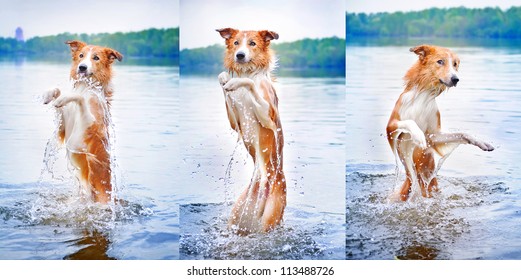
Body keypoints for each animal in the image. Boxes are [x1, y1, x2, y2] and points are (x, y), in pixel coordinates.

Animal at [42, 40, 123, 203]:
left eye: (96, 58)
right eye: (81, 55)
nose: (82, 67)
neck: (86, 87)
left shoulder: (82, 134)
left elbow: (79, 99)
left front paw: (63, 98)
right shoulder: (64, 124)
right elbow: (58, 91)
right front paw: (49, 95)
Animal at [216, 28, 286, 234]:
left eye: (252, 43)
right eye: (236, 43)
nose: (240, 55)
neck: (251, 72)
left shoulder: (269, 118)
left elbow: (250, 84)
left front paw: (236, 83)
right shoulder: (235, 122)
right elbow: (223, 79)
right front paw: (226, 80)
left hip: (269, 219)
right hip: (238, 213)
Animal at [386, 44, 496, 201]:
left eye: (455, 64)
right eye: (440, 61)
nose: (455, 79)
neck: (424, 96)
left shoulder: (433, 136)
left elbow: (462, 134)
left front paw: (481, 142)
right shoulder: (391, 126)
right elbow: (410, 122)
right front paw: (417, 136)